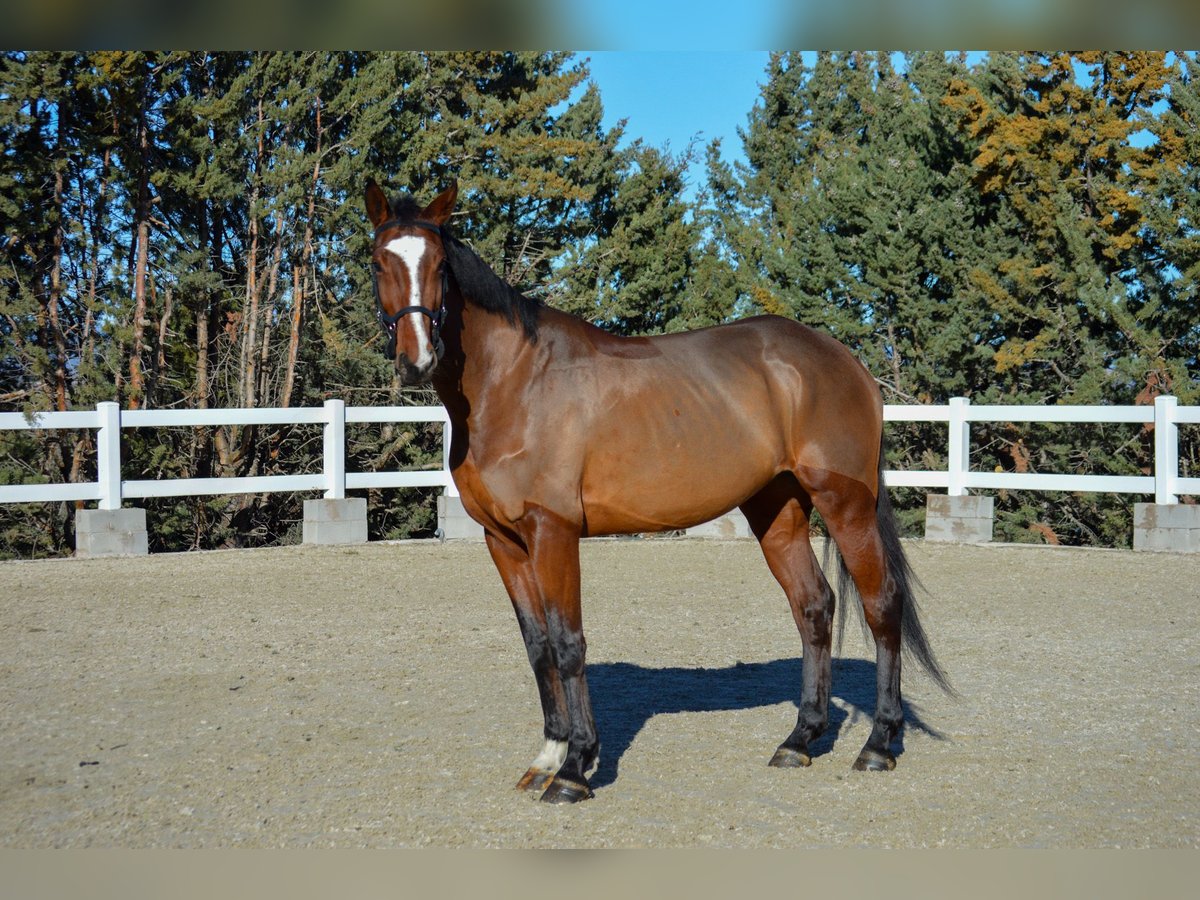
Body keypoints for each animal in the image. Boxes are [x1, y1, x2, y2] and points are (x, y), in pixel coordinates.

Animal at [360, 180, 950, 806]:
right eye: (378, 262)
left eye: (440, 265)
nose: (417, 360)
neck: (513, 382)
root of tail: (844, 361)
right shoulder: (503, 541)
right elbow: (537, 645)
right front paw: (547, 757)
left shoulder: (553, 532)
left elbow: (568, 643)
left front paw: (575, 769)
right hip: (777, 509)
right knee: (813, 605)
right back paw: (800, 740)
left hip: (846, 504)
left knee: (882, 604)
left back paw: (878, 744)